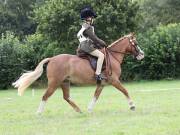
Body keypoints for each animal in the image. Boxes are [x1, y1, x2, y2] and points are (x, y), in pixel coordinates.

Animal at [12, 33, 144, 114]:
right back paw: (39, 113)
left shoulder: (102, 84)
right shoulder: (114, 80)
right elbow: (125, 91)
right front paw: (132, 106)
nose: (142, 55)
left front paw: (89, 109)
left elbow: (96, 96)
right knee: (45, 96)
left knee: (66, 97)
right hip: (54, 83)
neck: (112, 56)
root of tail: (52, 59)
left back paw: (79, 110)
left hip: (65, 82)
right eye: (136, 43)